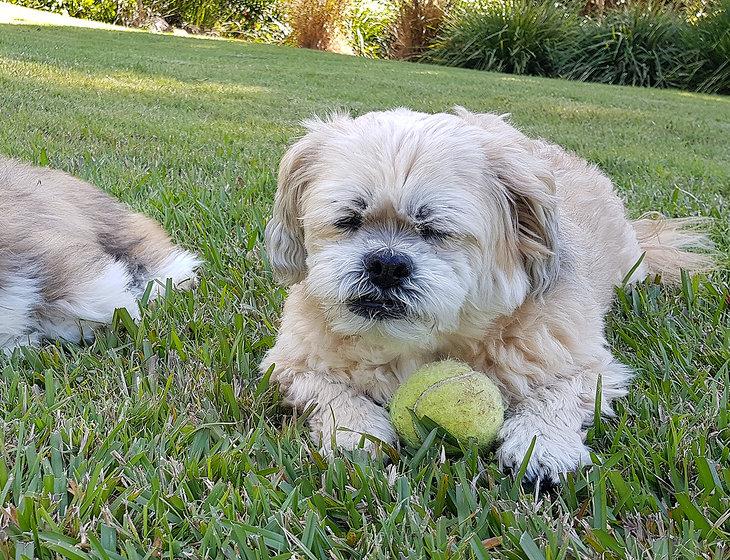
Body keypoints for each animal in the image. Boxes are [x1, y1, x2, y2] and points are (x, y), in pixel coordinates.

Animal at [262, 107, 712, 484]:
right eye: (349, 220)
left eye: (435, 231)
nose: (386, 264)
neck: (430, 342)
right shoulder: (291, 364)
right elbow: (326, 389)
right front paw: (355, 428)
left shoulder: (587, 365)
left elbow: (558, 395)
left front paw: (541, 442)